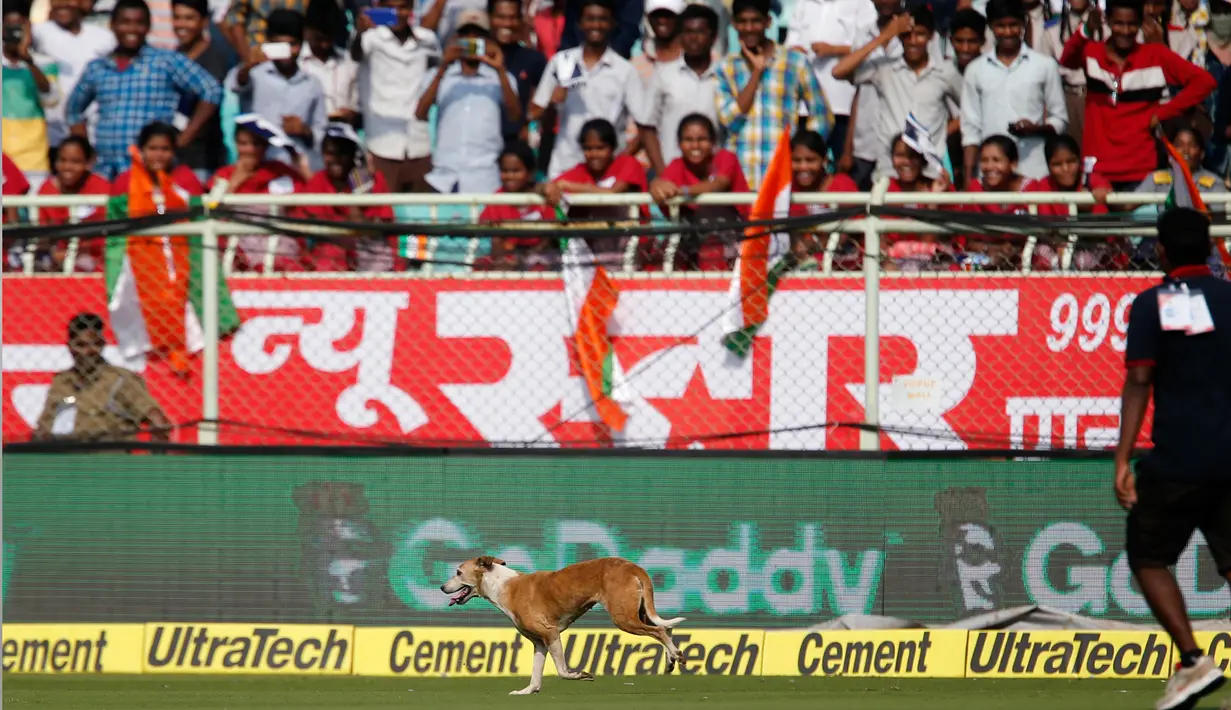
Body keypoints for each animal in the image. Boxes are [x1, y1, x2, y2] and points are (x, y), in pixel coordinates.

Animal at [443, 553, 689, 694]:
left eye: (458, 572)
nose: (441, 587)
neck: (503, 585)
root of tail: (632, 566)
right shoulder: (539, 642)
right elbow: (536, 673)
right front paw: (528, 691)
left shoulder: (551, 634)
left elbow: (562, 671)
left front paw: (579, 675)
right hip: (639, 612)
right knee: (666, 628)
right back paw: (671, 658)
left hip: (625, 618)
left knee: (659, 630)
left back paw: (675, 655)